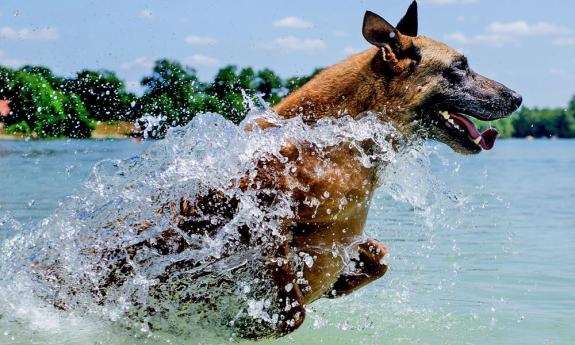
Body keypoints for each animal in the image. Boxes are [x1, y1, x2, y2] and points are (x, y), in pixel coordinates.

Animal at [42, 0, 524, 338]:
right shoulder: (255, 213)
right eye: (460, 67)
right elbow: (290, 305)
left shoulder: (341, 235)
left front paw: (344, 280)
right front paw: (247, 322)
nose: (519, 97)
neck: (341, 139)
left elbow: (378, 258)